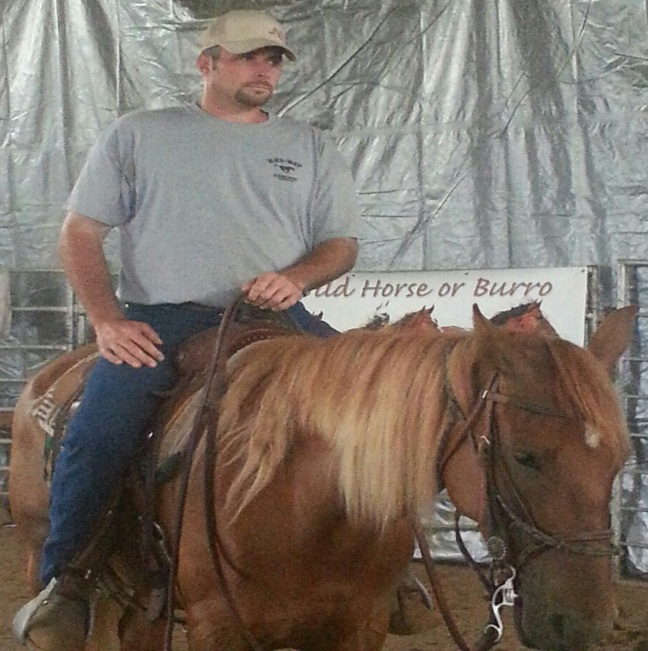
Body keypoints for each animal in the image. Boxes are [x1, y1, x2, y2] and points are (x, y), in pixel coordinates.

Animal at [8, 303, 636, 651]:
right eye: (526, 456)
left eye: (617, 462)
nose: (585, 626)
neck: (303, 503)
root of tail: (46, 378)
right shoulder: (218, 629)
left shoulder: (357, 627)